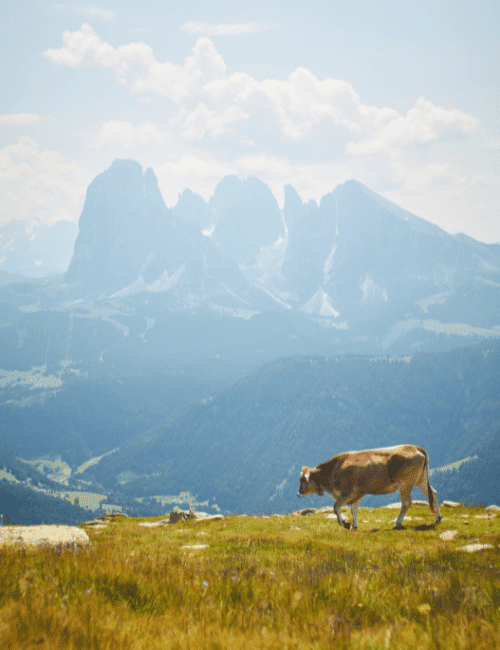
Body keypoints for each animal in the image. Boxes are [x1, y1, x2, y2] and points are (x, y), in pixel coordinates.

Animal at [296, 442, 442, 528]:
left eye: (302, 479)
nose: (298, 493)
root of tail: (415, 447)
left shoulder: (347, 492)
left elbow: (336, 507)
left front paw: (342, 522)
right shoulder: (356, 493)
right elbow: (354, 509)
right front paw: (354, 526)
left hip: (406, 484)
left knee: (406, 502)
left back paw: (397, 523)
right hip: (420, 480)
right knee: (433, 493)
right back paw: (438, 518)